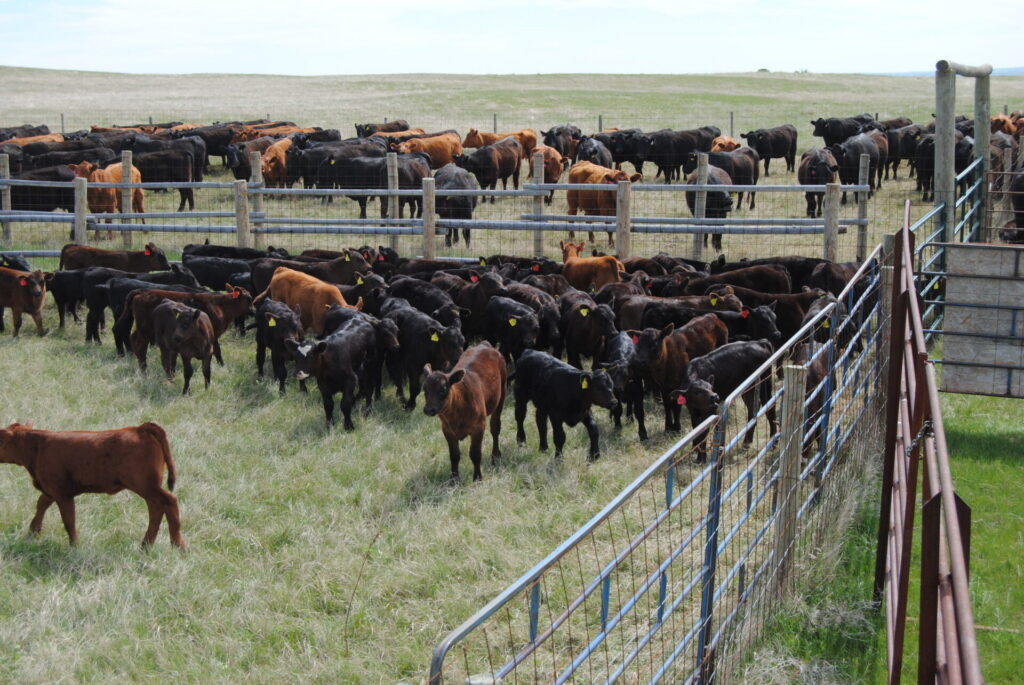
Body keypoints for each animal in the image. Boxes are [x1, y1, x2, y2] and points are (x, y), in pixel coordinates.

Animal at [0, 421, 185, 548]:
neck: (37, 446)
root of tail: (139, 428)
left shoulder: (61, 493)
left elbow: (68, 520)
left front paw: (75, 546)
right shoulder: (50, 490)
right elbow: (41, 505)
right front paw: (33, 532)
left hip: (146, 485)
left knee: (169, 501)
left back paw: (178, 545)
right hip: (148, 488)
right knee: (156, 508)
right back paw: (146, 545)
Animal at [422, 343, 507, 482]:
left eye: (443, 389)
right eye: (424, 389)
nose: (429, 409)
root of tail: (484, 344)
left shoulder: (479, 427)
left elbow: (475, 454)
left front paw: (477, 478)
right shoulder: (447, 430)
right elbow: (454, 455)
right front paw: (454, 479)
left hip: (502, 394)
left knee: (495, 427)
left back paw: (495, 456)